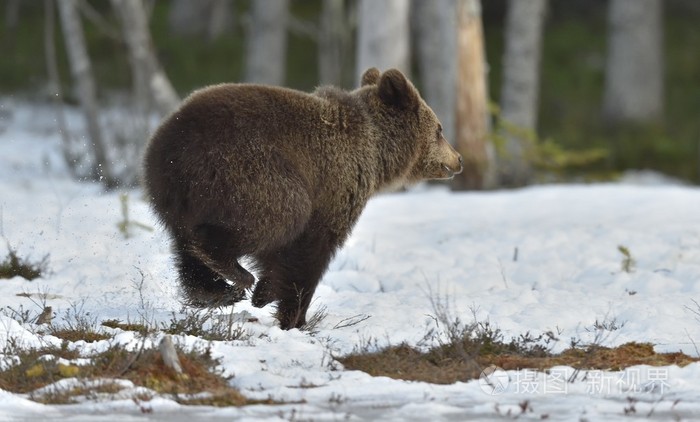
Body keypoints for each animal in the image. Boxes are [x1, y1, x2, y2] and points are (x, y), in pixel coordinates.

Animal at [142, 67, 462, 330]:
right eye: (440, 129)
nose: (458, 159)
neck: (376, 153)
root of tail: (170, 146)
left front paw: (264, 295)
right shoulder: (334, 189)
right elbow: (308, 253)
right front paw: (293, 315)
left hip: (174, 197)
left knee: (184, 245)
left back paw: (216, 291)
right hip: (248, 172)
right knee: (279, 216)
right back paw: (236, 274)